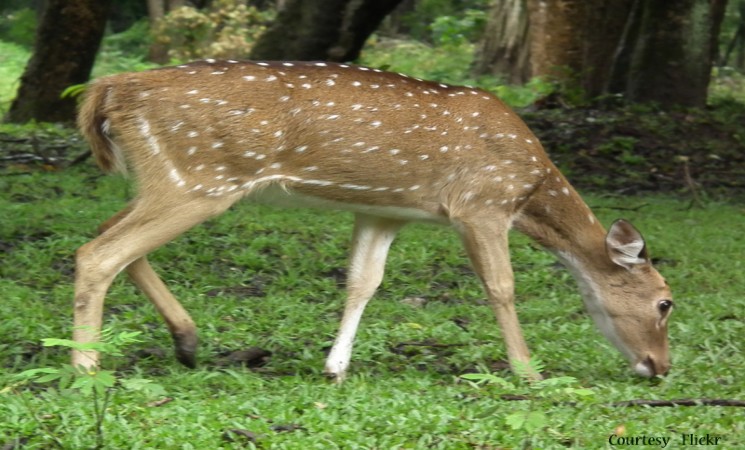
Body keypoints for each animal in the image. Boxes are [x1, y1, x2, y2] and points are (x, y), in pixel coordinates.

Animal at [74, 59, 676, 382]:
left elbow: (363, 282)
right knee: (97, 253)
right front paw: (528, 371)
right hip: (199, 179)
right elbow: (501, 286)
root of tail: (109, 90)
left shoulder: (383, 211)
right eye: (665, 303)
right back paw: (85, 366)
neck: (530, 187)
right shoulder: (480, 204)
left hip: (165, 180)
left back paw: (187, 339)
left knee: (106, 234)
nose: (660, 366)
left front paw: (335, 367)